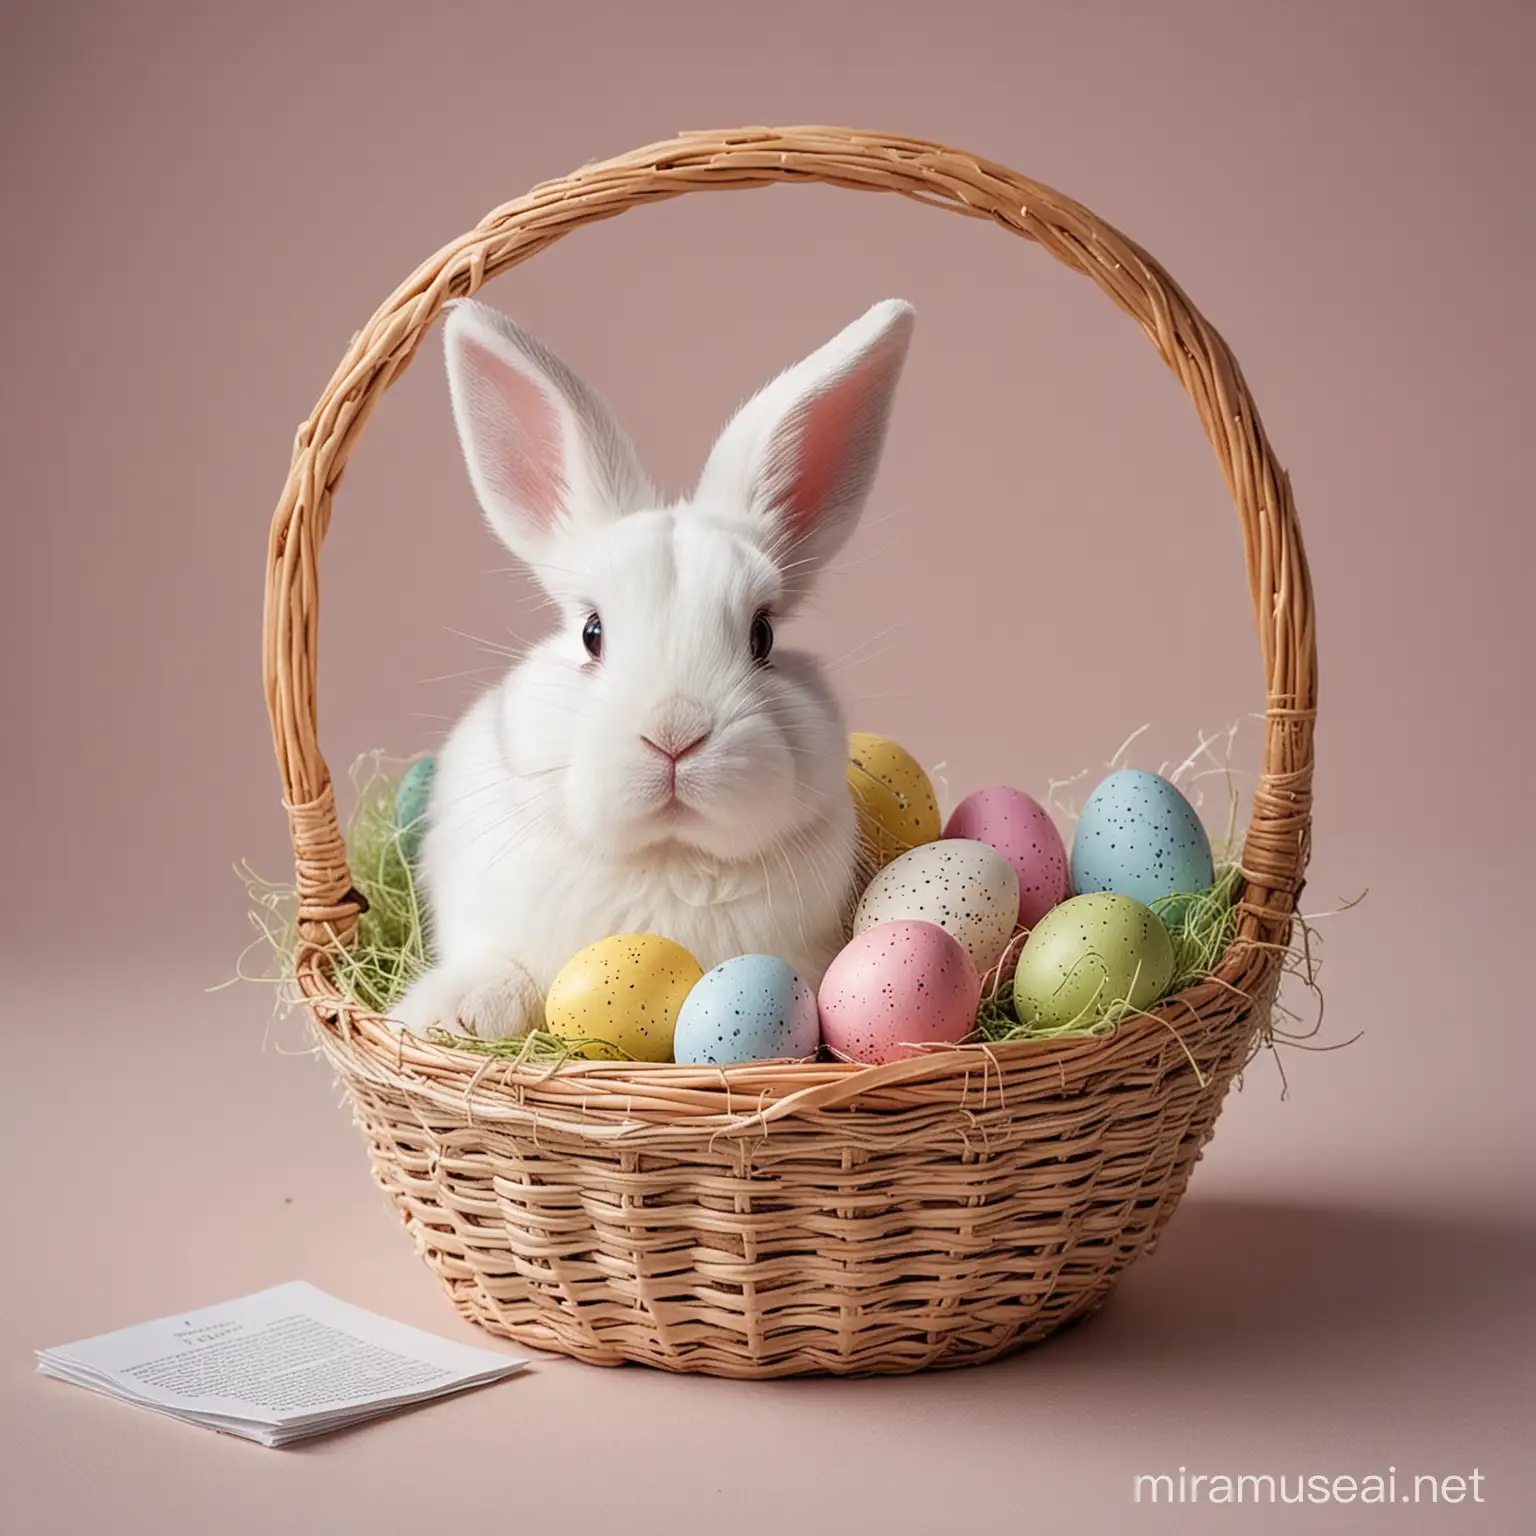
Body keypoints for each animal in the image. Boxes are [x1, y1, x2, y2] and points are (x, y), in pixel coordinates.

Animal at [393, 293, 909, 1038]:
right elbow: (499, 965)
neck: (667, 857)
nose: (675, 735)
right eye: (592, 632)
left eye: (761, 636)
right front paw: (452, 1014)